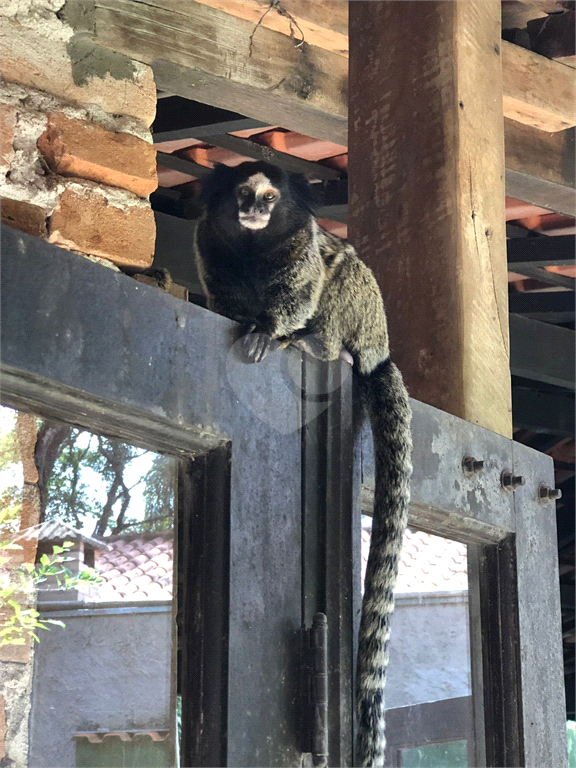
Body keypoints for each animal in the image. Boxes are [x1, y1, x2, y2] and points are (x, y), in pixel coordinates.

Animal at [196, 159, 412, 764]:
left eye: (271, 198)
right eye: (242, 194)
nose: (254, 209)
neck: (252, 245)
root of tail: (380, 348)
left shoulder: (299, 250)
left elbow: (306, 282)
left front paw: (268, 329)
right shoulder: (211, 246)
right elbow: (223, 290)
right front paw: (233, 314)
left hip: (363, 318)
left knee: (342, 275)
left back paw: (316, 344)